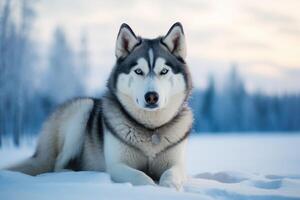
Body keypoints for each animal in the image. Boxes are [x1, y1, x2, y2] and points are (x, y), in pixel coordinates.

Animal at [8, 22, 195, 190]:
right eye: (138, 71)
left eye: (164, 71)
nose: (151, 97)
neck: (151, 129)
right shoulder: (117, 166)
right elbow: (142, 177)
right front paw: (154, 190)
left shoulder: (177, 164)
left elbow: (171, 174)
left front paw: (169, 187)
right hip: (81, 110)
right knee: (57, 166)